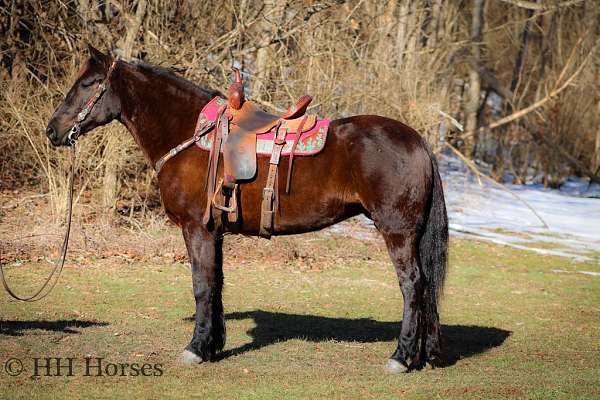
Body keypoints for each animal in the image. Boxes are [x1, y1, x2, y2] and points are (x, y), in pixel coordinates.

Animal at [47, 45, 448, 374]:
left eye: (89, 83)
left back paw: (400, 357)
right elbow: (216, 284)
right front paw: (212, 345)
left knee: (413, 285)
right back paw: (424, 353)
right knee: (425, 286)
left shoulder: (196, 229)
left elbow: (201, 286)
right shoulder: (214, 232)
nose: (53, 130)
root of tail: (417, 141)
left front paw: (196, 348)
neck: (191, 134)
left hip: (397, 232)